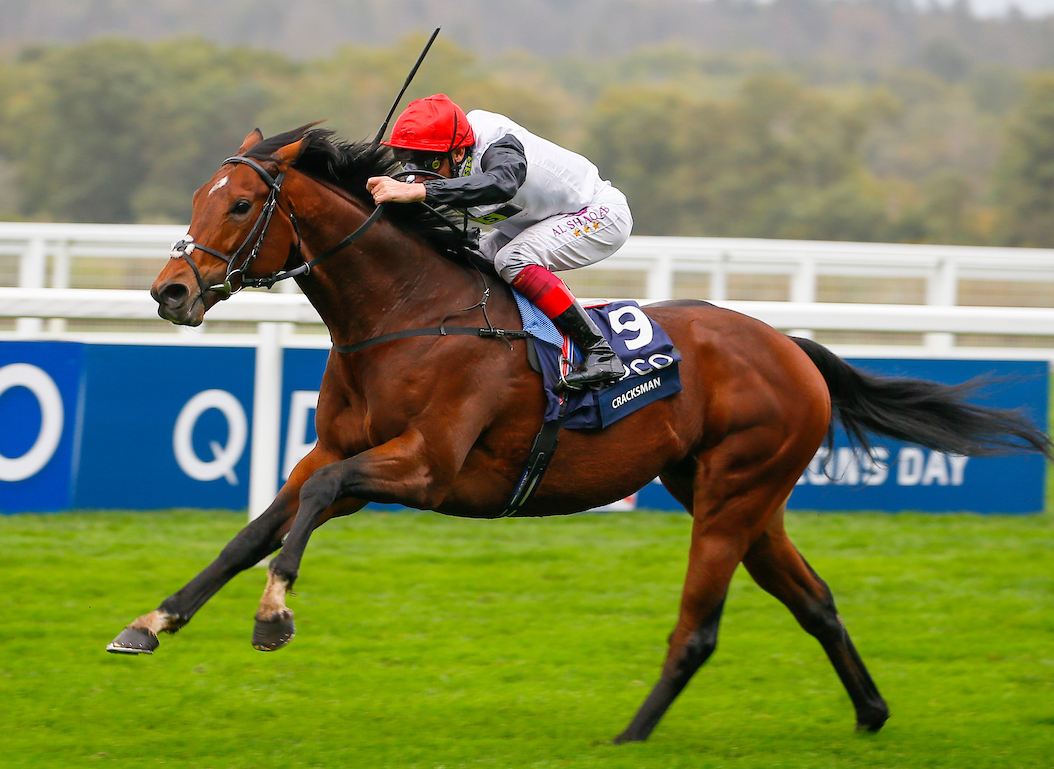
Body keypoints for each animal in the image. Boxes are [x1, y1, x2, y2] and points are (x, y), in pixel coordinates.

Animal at [111, 125, 1049, 741]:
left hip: (734, 493)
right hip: (736, 493)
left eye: (239, 203)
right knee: (813, 599)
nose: (169, 292)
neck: (408, 314)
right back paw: (871, 712)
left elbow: (316, 505)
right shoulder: (334, 448)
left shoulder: (425, 466)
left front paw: (274, 613)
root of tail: (791, 348)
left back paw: (630, 737)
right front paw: (151, 621)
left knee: (700, 625)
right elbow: (255, 529)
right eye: (198, 198)